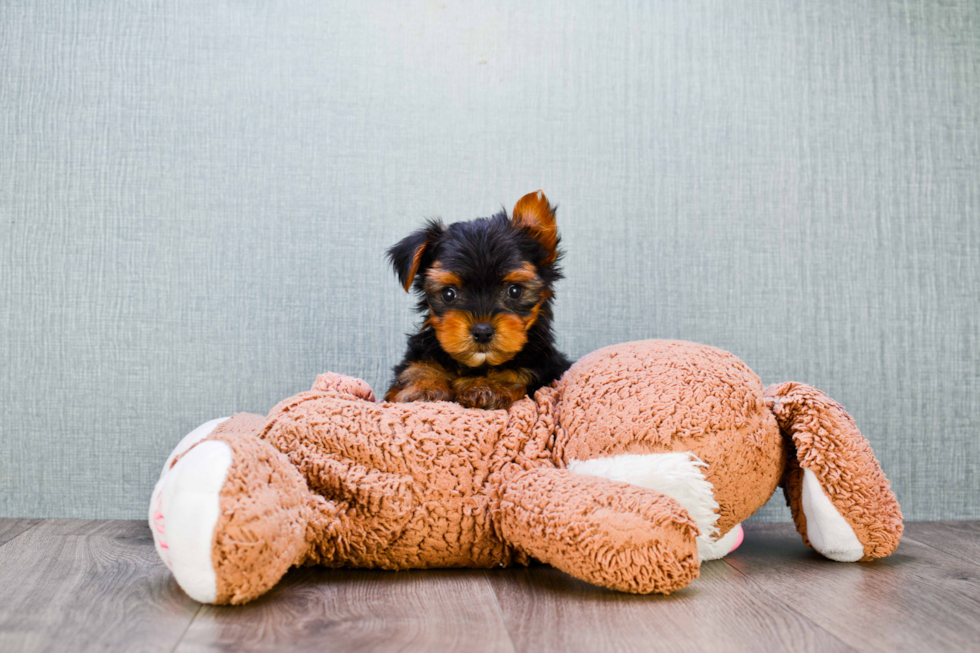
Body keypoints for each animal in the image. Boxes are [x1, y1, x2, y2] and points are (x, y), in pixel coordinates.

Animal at [380, 191, 568, 410]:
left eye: (514, 291)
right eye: (449, 294)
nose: (482, 331)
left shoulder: (541, 366)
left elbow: (514, 374)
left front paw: (488, 388)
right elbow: (418, 368)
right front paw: (422, 388)